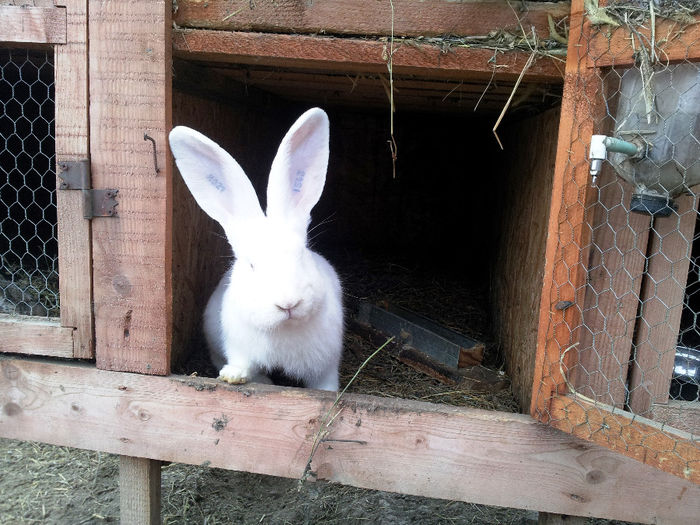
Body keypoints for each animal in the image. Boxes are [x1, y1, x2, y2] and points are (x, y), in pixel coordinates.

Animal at [170, 108, 344, 390]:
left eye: (301, 254)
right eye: (252, 265)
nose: (288, 304)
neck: (284, 329)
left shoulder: (326, 364)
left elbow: (324, 384)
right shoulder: (239, 346)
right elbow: (242, 363)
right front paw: (233, 376)